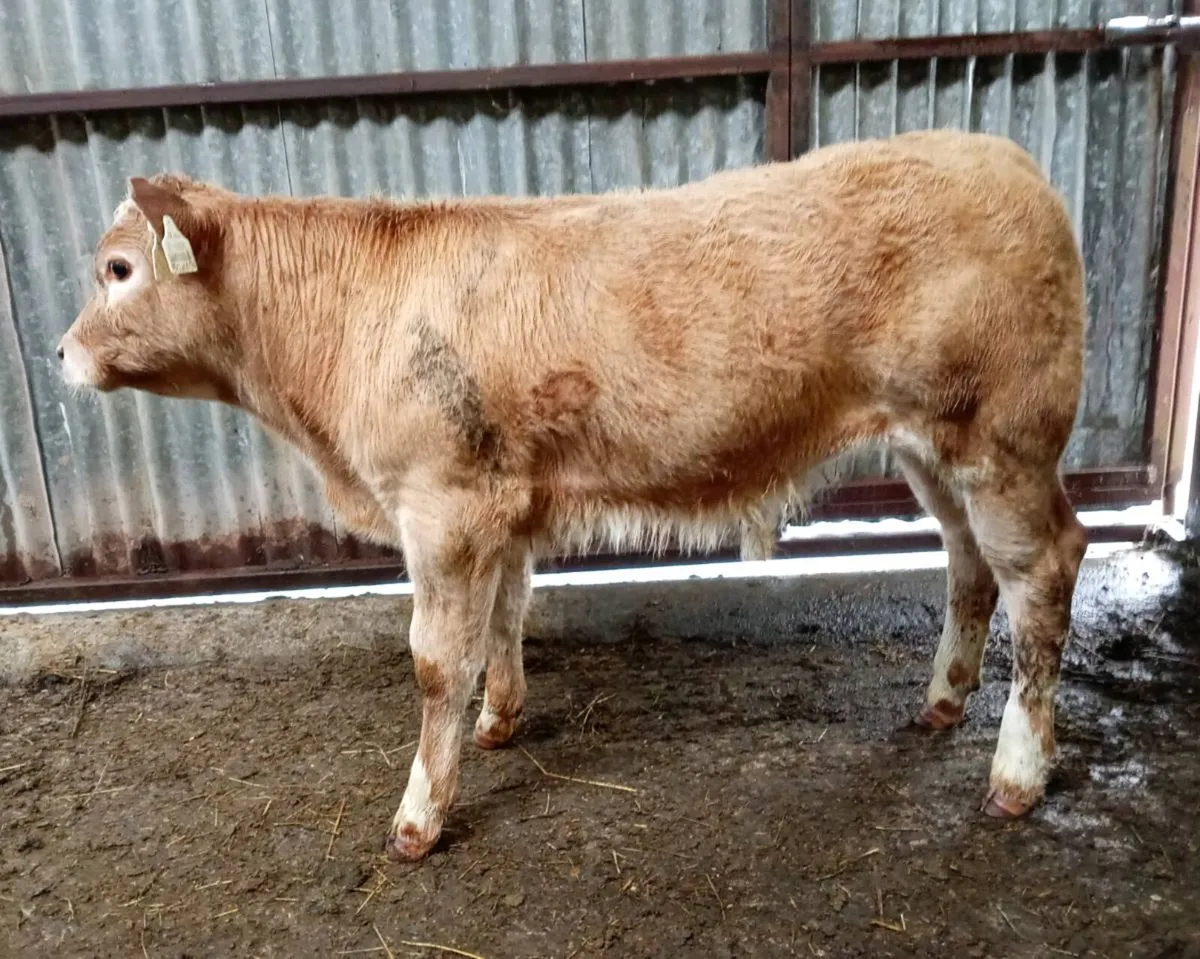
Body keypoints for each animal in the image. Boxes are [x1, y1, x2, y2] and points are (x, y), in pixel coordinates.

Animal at [59, 129, 1088, 862]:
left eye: (119, 269)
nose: (61, 352)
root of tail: (1006, 159)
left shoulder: (441, 501)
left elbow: (437, 658)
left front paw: (419, 817)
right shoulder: (502, 497)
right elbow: (507, 618)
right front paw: (498, 721)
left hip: (1003, 439)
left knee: (1043, 568)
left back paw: (1016, 771)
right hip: (931, 446)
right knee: (968, 564)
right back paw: (943, 699)